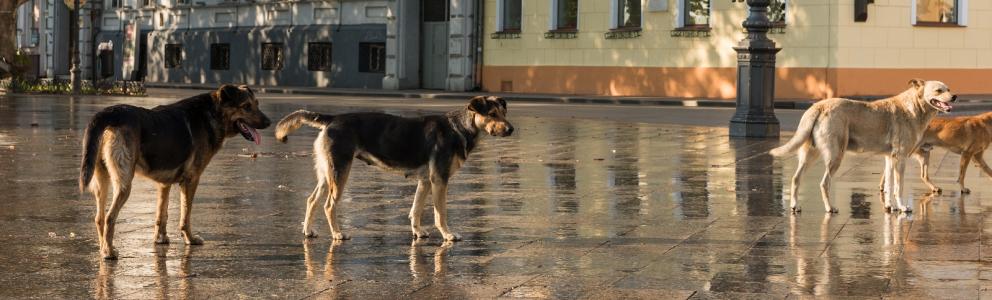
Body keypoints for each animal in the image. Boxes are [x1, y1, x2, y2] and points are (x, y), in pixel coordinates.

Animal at [80, 85, 272, 260]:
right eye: (246, 106)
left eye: (257, 104)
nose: (269, 122)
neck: (213, 114)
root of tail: (111, 112)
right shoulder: (191, 180)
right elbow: (185, 215)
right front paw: (190, 239)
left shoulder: (163, 184)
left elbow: (162, 214)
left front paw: (160, 239)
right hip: (124, 183)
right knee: (109, 217)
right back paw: (109, 252)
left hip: (102, 179)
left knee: (99, 218)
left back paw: (104, 248)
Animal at [276, 96, 516, 241]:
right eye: (492, 114)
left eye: (504, 113)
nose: (511, 129)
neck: (460, 128)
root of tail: (333, 119)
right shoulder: (440, 180)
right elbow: (440, 213)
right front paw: (447, 235)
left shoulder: (426, 181)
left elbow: (416, 210)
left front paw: (417, 232)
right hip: (340, 172)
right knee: (328, 205)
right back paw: (337, 234)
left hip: (327, 173)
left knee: (312, 199)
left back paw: (307, 230)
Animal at [772, 78, 956, 212]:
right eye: (939, 90)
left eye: (948, 88)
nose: (954, 97)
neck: (914, 108)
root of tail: (819, 106)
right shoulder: (901, 158)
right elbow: (898, 186)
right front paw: (902, 207)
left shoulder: (890, 158)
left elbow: (888, 185)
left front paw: (890, 207)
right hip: (835, 155)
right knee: (824, 183)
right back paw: (829, 208)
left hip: (810, 155)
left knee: (796, 178)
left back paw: (794, 205)